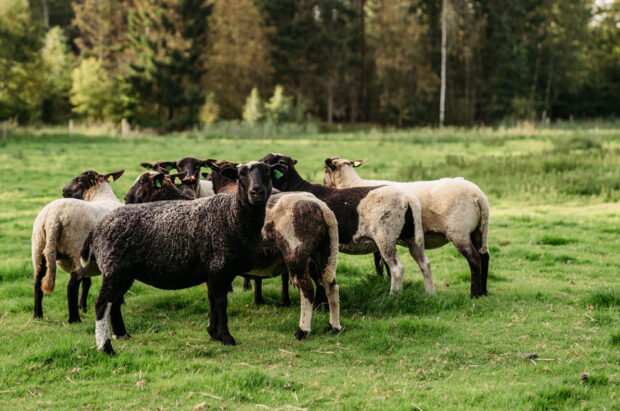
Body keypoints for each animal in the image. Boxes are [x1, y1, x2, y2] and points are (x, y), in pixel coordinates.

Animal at [30, 169, 125, 324]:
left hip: (38, 248)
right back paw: (74, 319)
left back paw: (37, 315)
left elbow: (87, 282)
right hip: (76, 248)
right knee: (71, 287)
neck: (101, 195)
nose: (63, 191)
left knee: (37, 282)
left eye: (79, 181)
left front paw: (83, 306)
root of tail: (53, 218)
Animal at [207, 163, 342, 336]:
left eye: (267, 172)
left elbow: (212, 297)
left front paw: (212, 329)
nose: (257, 192)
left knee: (307, 289)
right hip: (327, 250)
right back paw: (334, 326)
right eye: (241, 174)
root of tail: (323, 209)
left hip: (296, 252)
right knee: (331, 286)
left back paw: (302, 331)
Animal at [258, 153, 432, 294]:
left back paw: (394, 295)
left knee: (397, 268)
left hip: (386, 237)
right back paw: (430, 294)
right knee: (425, 264)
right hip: (412, 237)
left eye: (266, 163)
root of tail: (408, 199)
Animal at [322, 159, 492, 300]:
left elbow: (380, 263)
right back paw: (483, 291)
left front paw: (385, 283)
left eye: (325, 170)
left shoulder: (378, 236)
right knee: (484, 257)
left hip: (459, 231)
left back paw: (474, 294)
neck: (351, 183)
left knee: (474, 258)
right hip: (478, 231)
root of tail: (480, 197)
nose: (323, 184)